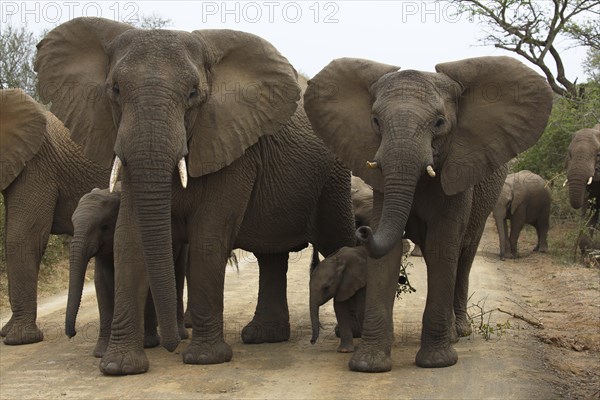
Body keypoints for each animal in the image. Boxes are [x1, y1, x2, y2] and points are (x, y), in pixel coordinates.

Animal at [34, 18, 356, 376]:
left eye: (193, 94)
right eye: (115, 90)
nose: (172, 344)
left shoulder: (231, 143)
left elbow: (208, 239)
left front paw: (204, 359)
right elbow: (128, 239)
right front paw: (119, 367)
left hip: (333, 176)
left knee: (334, 238)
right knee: (271, 254)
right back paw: (263, 337)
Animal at [304, 56, 552, 372]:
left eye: (439, 123)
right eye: (375, 121)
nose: (362, 230)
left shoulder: (458, 172)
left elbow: (442, 246)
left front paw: (437, 362)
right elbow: (388, 252)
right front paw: (368, 365)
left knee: (463, 257)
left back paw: (458, 332)